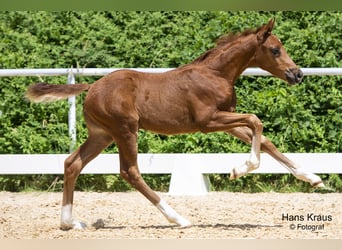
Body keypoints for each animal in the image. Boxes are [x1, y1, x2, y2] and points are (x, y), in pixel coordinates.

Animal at [26, 18, 324, 229]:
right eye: (275, 50)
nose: (297, 74)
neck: (215, 74)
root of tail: (92, 86)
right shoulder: (208, 121)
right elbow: (256, 121)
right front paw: (240, 169)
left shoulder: (225, 119)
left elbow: (263, 138)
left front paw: (312, 178)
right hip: (125, 130)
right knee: (129, 172)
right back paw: (177, 218)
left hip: (102, 134)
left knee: (72, 163)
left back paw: (68, 222)